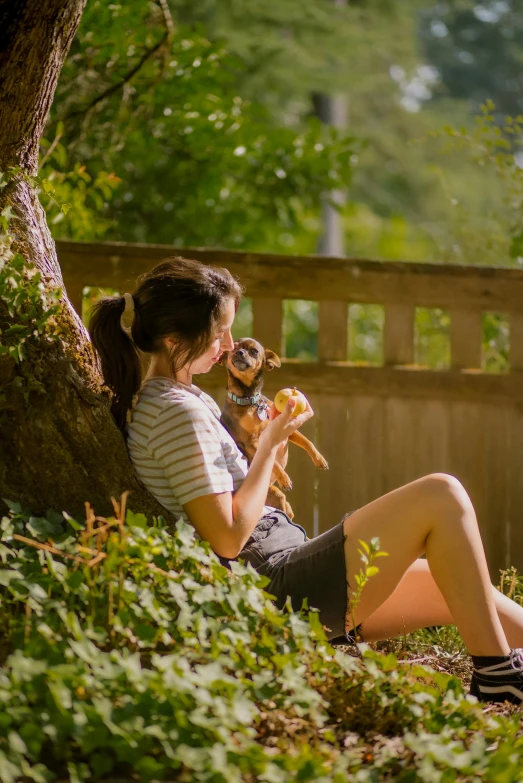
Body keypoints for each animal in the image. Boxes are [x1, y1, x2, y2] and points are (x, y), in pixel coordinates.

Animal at [220, 338, 328, 516]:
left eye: (254, 351)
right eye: (234, 347)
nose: (239, 352)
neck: (250, 400)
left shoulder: (288, 430)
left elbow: (307, 442)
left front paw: (319, 459)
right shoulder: (251, 443)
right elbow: (276, 463)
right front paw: (284, 478)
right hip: (276, 495)